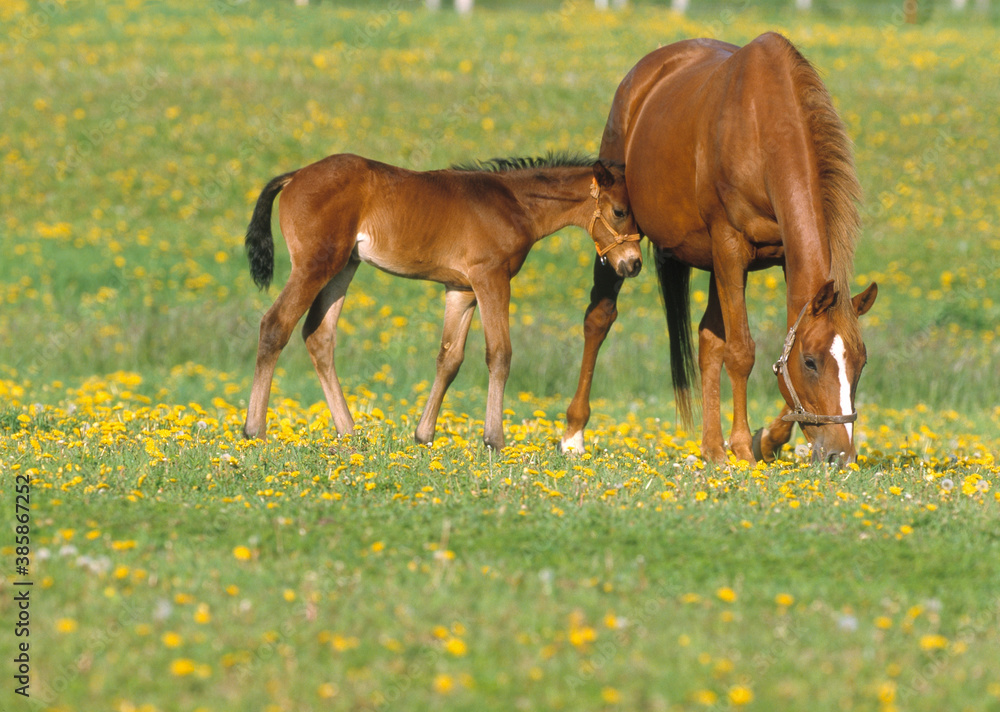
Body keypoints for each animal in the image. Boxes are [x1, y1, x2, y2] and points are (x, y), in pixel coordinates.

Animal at [241, 152, 642, 450]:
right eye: (620, 211)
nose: (634, 263)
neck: (514, 203)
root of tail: (295, 176)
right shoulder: (491, 278)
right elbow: (500, 353)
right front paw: (495, 440)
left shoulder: (460, 290)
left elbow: (449, 358)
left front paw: (423, 436)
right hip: (315, 265)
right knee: (275, 325)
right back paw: (255, 430)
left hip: (343, 267)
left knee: (318, 336)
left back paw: (349, 432)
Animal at [559, 33, 878, 465]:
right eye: (811, 362)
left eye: (860, 363)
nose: (840, 455)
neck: (761, 128)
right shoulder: (730, 247)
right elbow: (742, 351)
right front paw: (743, 446)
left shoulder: (779, 257)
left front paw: (766, 439)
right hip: (620, 242)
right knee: (598, 318)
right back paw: (573, 434)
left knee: (708, 340)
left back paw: (712, 447)